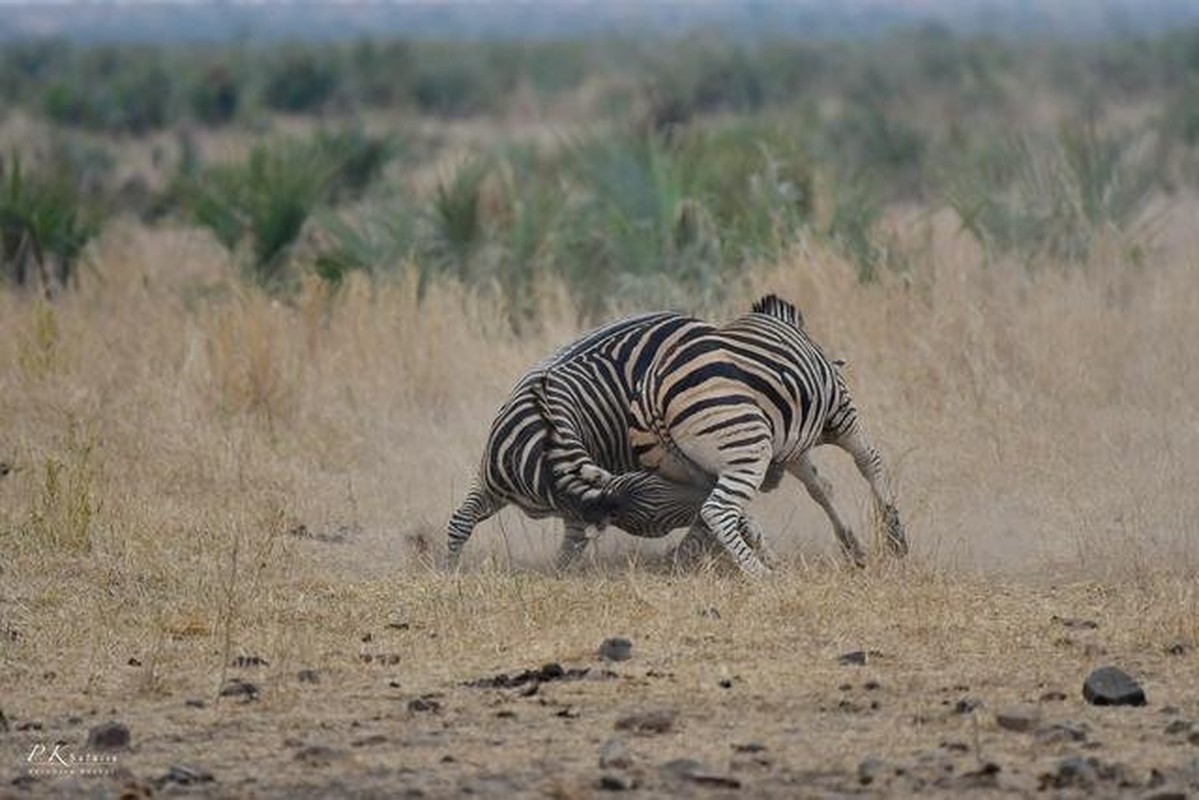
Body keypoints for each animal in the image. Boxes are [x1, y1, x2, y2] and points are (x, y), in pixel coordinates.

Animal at [541, 293, 901, 575]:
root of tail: (653, 398)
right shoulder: (840, 413)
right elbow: (870, 462)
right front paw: (895, 536)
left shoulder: (792, 446)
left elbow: (820, 488)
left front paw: (854, 547)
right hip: (748, 447)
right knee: (718, 510)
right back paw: (761, 573)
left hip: (683, 469)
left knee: (709, 509)